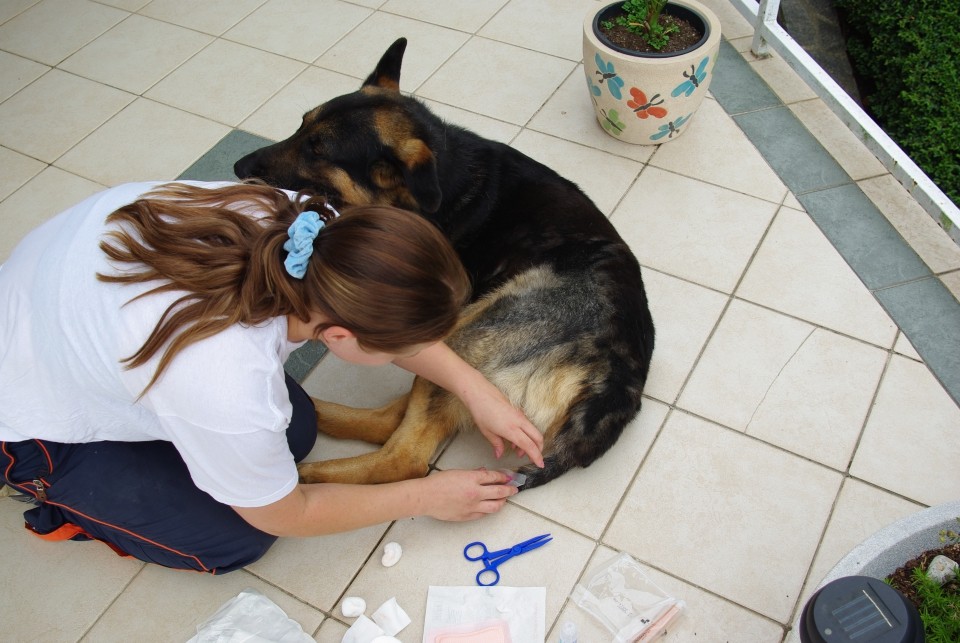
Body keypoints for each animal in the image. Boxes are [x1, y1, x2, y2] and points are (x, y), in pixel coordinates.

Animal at [234, 39, 652, 488]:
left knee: (404, 456)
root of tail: (613, 384)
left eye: (318, 150)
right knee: (390, 421)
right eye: (300, 127)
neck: (442, 171)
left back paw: (312, 473)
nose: (238, 168)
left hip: (462, 333)